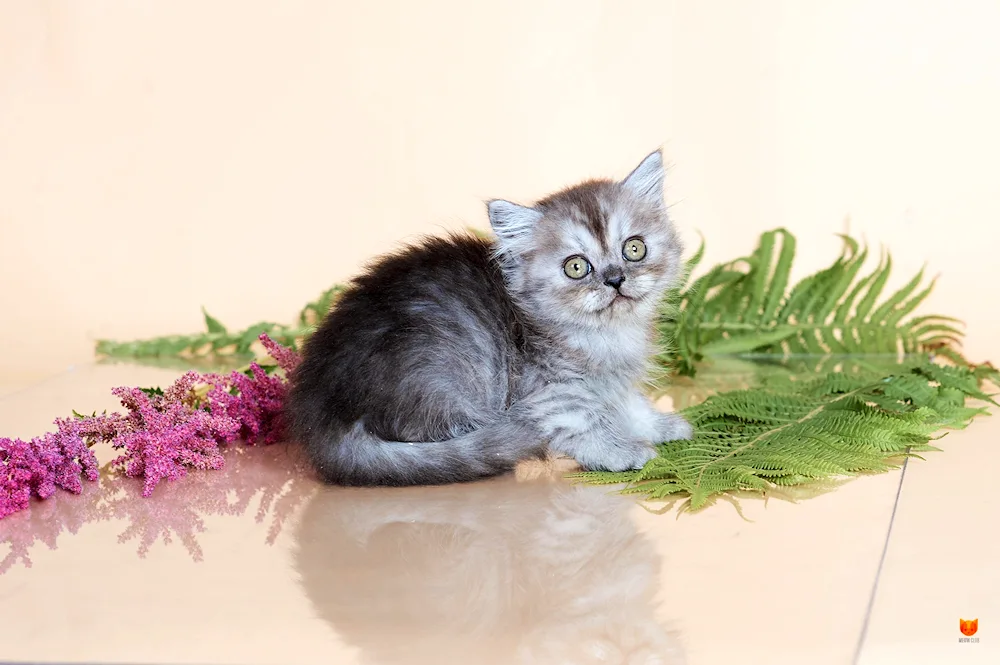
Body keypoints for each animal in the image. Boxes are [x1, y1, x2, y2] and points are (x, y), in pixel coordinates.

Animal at [288, 148, 696, 486]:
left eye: (634, 248)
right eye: (577, 267)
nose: (615, 279)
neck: (605, 335)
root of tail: (323, 419)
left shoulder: (612, 383)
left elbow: (630, 404)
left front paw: (661, 425)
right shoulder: (548, 392)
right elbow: (584, 423)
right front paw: (621, 450)